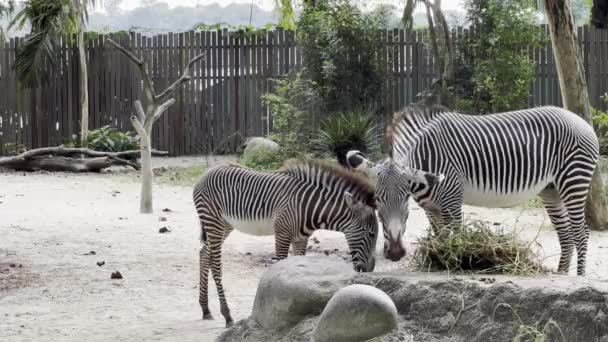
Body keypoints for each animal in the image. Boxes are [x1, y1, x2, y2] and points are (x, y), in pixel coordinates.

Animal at [192, 158, 378, 326]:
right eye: (371, 234)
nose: (370, 269)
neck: (309, 207)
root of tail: (208, 171)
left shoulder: (301, 239)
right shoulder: (282, 234)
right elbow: (280, 267)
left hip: (225, 225)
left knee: (204, 252)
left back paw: (205, 309)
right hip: (213, 221)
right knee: (215, 264)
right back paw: (227, 315)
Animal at [346, 105, 600, 276]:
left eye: (405, 199)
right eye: (377, 202)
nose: (396, 254)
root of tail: (582, 121)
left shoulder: (452, 201)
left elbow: (457, 238)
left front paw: (458, 265)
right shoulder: (431, 208)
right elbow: (440, 238)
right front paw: (439, 262)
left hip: (573, 180)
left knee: (581, 233)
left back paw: (578, 278)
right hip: (551, 190)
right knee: (566, 234)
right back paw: (561, 274)